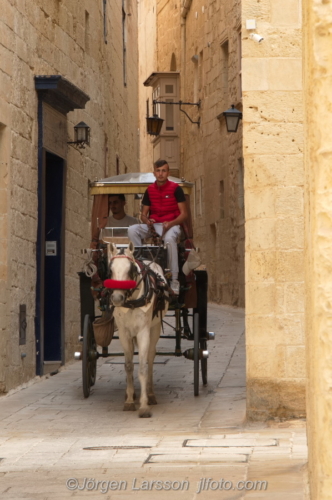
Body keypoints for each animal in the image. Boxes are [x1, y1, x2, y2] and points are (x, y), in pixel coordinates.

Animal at [106, 242, 169, 418]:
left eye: (131, 270)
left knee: (150, 358)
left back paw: (151, 394)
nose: (117, 298)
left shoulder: (143, 332)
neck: (132, 301)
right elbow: (128, 366)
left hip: (154, 329)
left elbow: (142, 366)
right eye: (110, 270)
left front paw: (144, 405)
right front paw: (129, 401)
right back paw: (132, 393)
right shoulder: (123, 332)